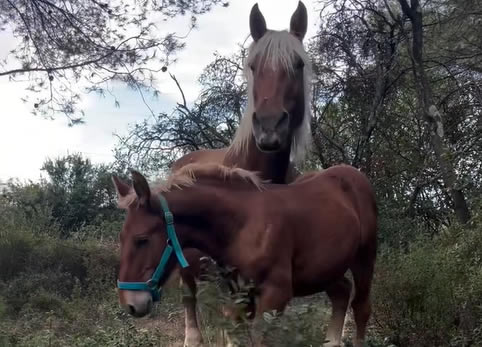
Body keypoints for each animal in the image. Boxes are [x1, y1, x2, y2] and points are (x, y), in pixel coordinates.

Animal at [115, 164, 378, 347]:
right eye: (121, 237)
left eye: (142, 239)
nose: (130, 304)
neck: (240, 226)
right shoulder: (237, 298)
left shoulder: (275, 297)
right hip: (326, 268)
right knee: (341, 293)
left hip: (364, 258)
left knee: (361, 307)